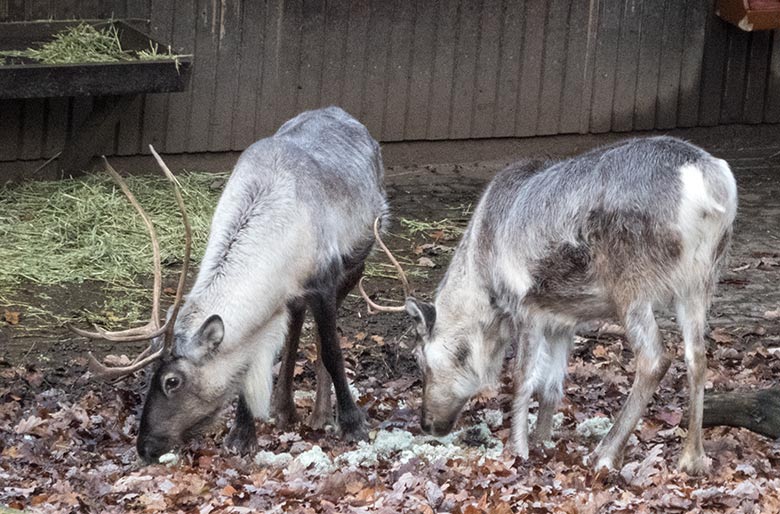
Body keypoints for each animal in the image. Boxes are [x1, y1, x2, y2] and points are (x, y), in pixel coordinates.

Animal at [71, 106, 388, 462]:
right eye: (146, 377)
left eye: (172, 381)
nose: (145, 446)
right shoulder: (274, 303)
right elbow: (248, 364)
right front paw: (241, 435)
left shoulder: (324, 280)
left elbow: (332, 350)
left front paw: (353, 424)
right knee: (295, 324)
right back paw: (285, 409)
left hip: (359, 261)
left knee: (320, 336)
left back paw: (321, 414)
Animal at [360, 136, 737, 476]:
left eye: (419, 358)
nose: (427, 424)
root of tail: (709, 184)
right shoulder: (563, 319)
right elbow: (552, 386)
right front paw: (542, 441)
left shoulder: (526, 306)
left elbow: (522, 378)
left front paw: (518, 449)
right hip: (699, 281)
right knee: (697, 356)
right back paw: (692, 458)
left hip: (631, 281)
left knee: (655, 359)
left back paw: (605, 454)